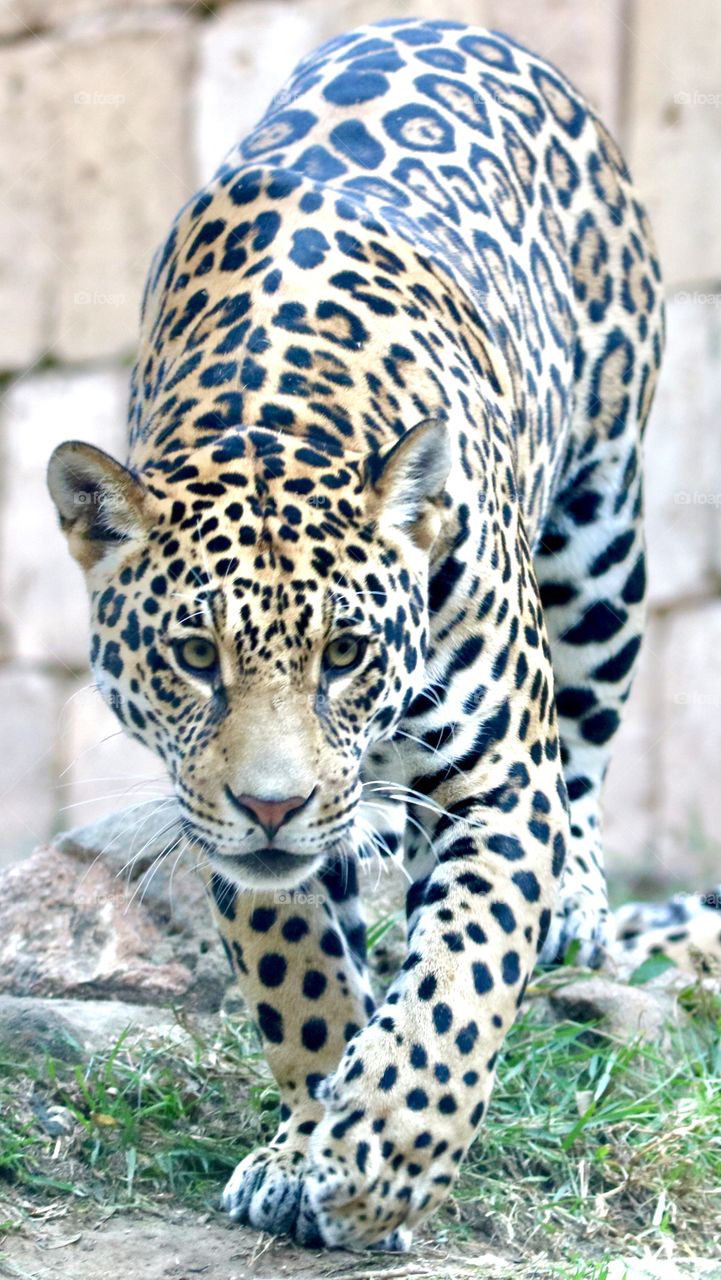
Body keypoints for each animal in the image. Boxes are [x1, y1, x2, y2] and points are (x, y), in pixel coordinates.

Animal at [47, 18, 721, 1252]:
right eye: (194, 657)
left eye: (346, 655)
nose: (274, 804)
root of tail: (459, 24)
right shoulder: (234, 832)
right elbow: (305, 985)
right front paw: (310, 1142)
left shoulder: (498, 787)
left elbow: (459, 983)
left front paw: (382, 1166)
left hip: (604, 532)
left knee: (588, 743)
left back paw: (577, 906)